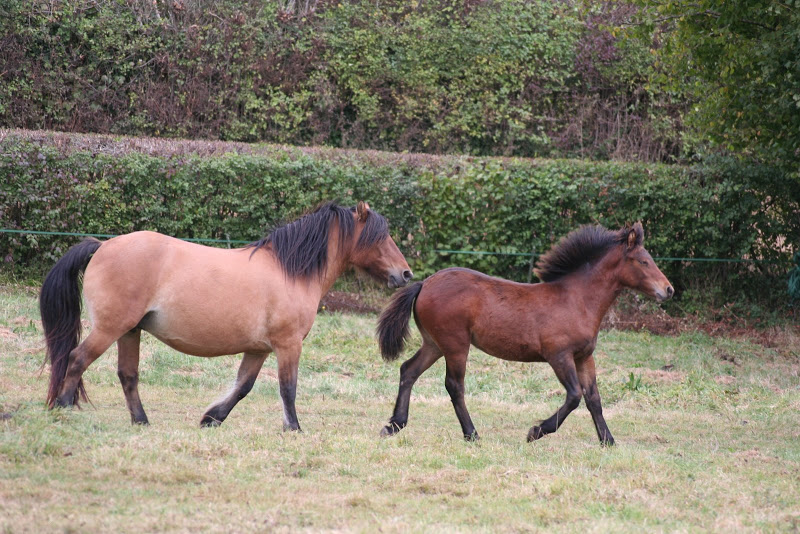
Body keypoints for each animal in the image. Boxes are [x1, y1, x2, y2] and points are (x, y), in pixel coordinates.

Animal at [39, 201, 412, 432]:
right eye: (380, 237)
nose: (406, 274)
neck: (290, 271)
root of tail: (102, 245)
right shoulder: (288, 345)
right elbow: (288, 388)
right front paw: (293, 428)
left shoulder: (258, 349)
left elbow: (243, 387)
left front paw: (211, 418)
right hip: (110, 329)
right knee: (76, 359)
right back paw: (64, 407)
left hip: (130, 331)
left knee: (127, 376)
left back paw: (141, 421)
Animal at [378, 223, 672, 448]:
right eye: (644, 261)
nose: (668, 290)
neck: (577, 300)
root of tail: (425, 283)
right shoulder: (559, 356)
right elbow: (575, 396)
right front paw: (536, 432)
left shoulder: (584, 356)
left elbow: (594, 399)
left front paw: (608, 441)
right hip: (455, 345)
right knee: (454, 385)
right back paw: (472, 435)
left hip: (435, 344)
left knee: (409, 370)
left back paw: (394, 425)